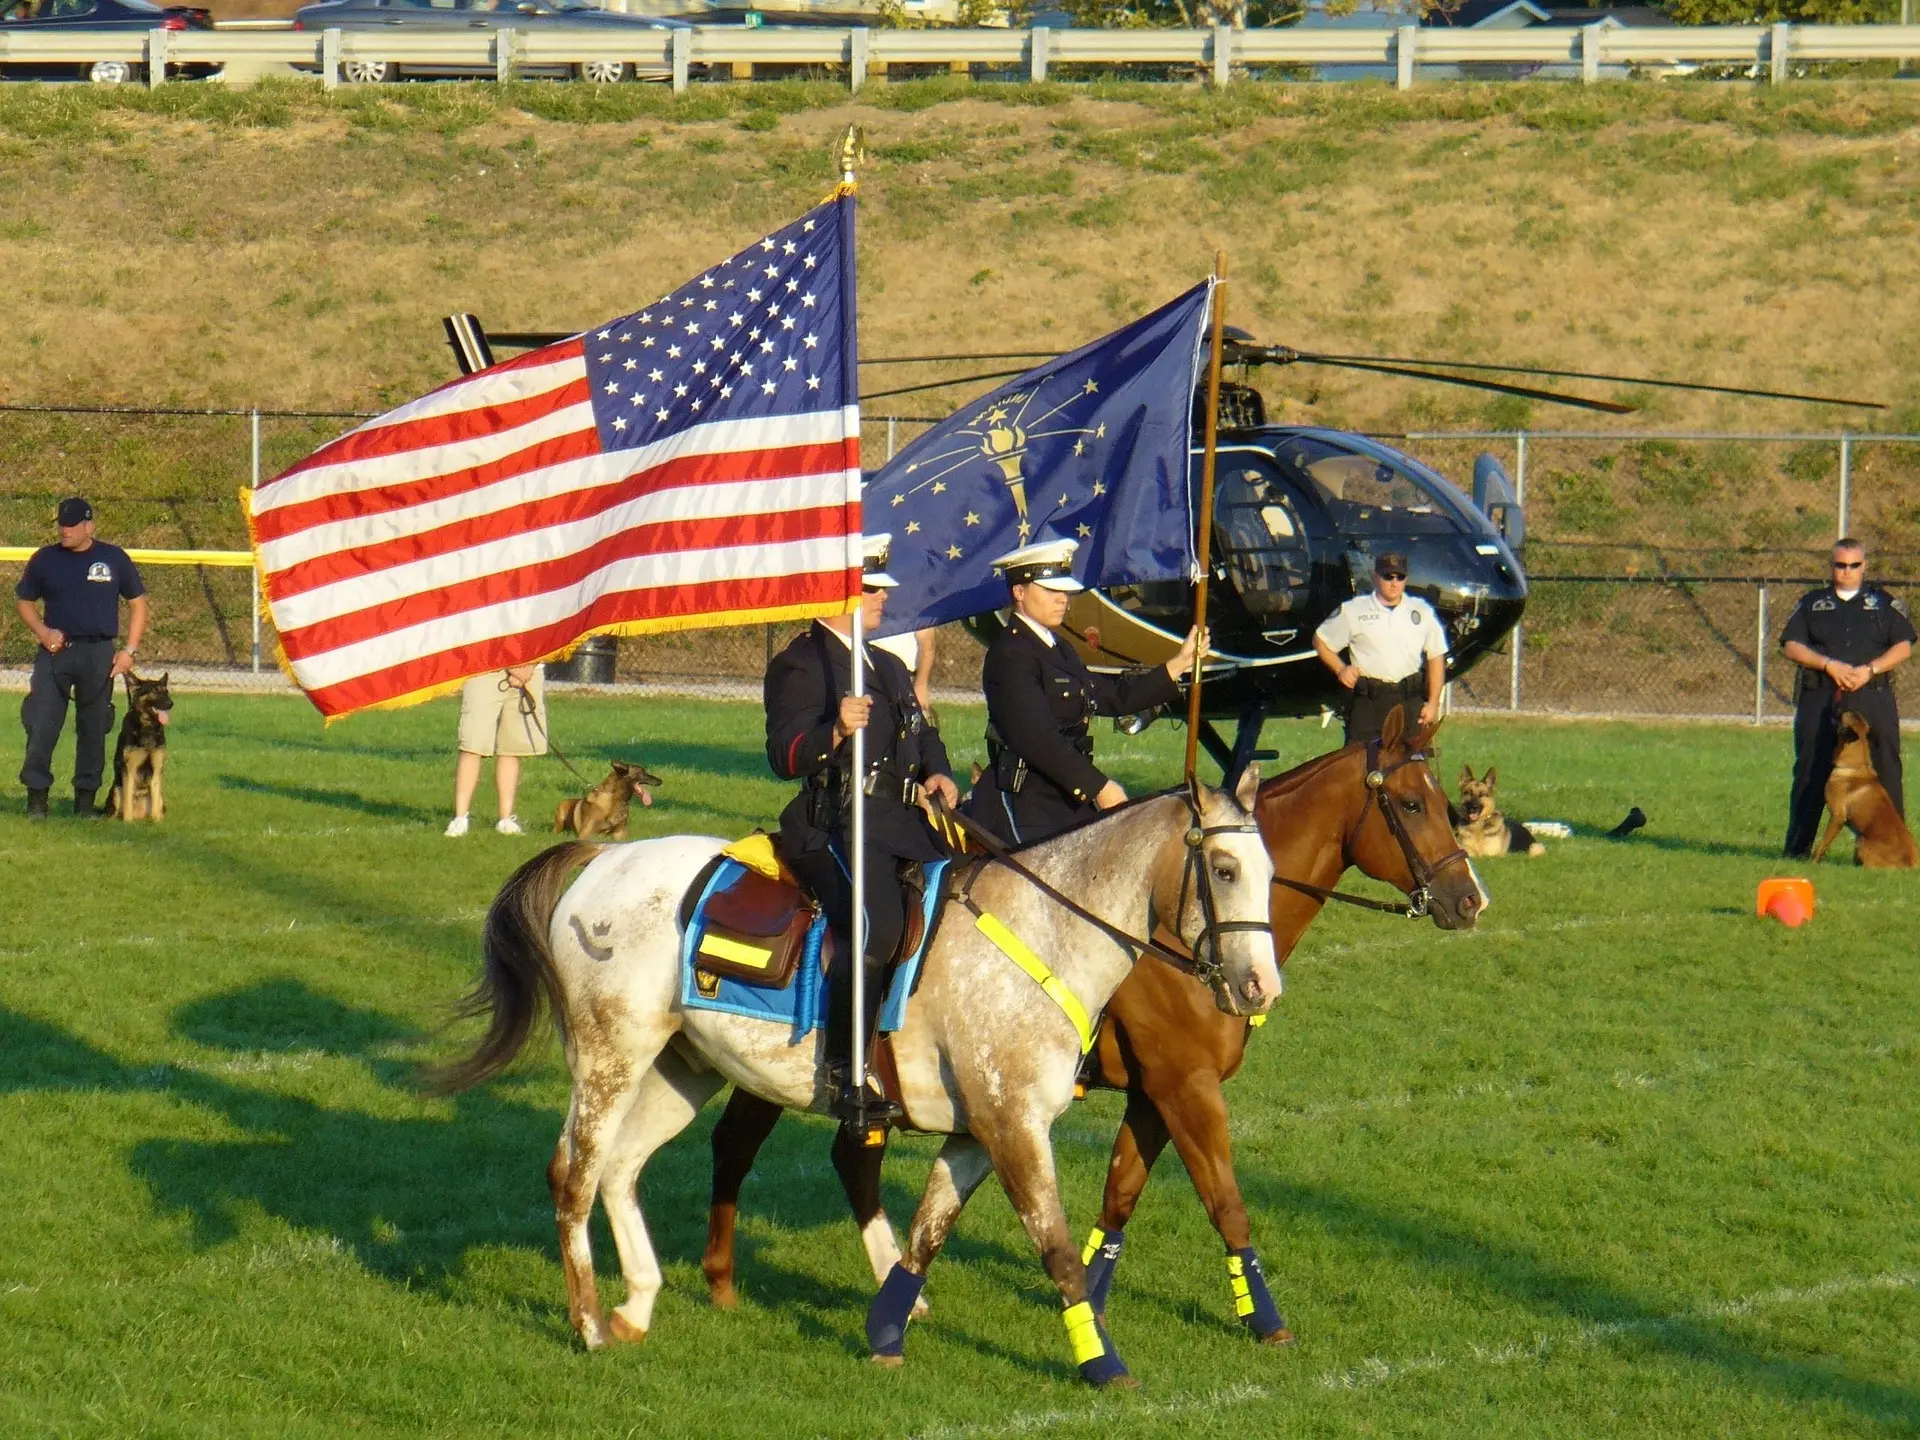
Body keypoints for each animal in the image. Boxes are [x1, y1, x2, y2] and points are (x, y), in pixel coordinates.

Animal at [105, 675, 174, 821]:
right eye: (154, 691)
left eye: (166, 692)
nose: (171, 703)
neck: (147, 727)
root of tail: (139, 815)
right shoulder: (129, 769)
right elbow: (128, 799)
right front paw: (128, 822)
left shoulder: (157, 768)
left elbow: (155, 802)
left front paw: (156, 821)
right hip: (116, 790)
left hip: (161, 798)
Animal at [435, 783, 1274, 1390]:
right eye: (1224, 870)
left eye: (1270, 875)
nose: (1261, 986)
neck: (1043, 932)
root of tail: (604, 861)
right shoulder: (1014, 1127)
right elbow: (1058, 1249)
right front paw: (1102, 1363)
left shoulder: (976, 1133)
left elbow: (928, 1233)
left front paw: (885, 1330)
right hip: (611, 1058)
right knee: (573, 1175)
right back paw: (585, 1324)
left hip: (683, 1069)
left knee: (620, 1169)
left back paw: (637, 1303)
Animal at [698, 710, 1474, 1351]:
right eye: (1411, 804)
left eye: (1446, 803)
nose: (1469, 900)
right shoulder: (1184, 1086)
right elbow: (1226, 1202)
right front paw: (1264, 1319)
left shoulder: (1152, 1095)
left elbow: (1120, 1193)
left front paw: (1090, 1306)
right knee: (749, 1147)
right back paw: (735, 1281)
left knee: (813, 1152)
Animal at [1804, 714, 1912, 867]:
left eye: (1841, 715)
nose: (1835, 711)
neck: (1855, 766)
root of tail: (1911, 863)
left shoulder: (1837, 817)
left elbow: (1822, 844)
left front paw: (1813, 863)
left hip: (1861, 842)